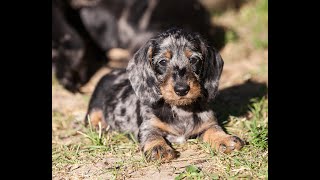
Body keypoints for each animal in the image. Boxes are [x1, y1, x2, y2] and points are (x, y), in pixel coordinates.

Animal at [85, 28, 242, 162]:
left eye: (193, 59)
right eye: (163, 62)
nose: (181, 89)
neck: (181, 110)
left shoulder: (208, 123)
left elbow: (214, 129)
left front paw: (224, 139)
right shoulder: (148, 126)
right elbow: (152, 135)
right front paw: (158, 147)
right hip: (94, 108)